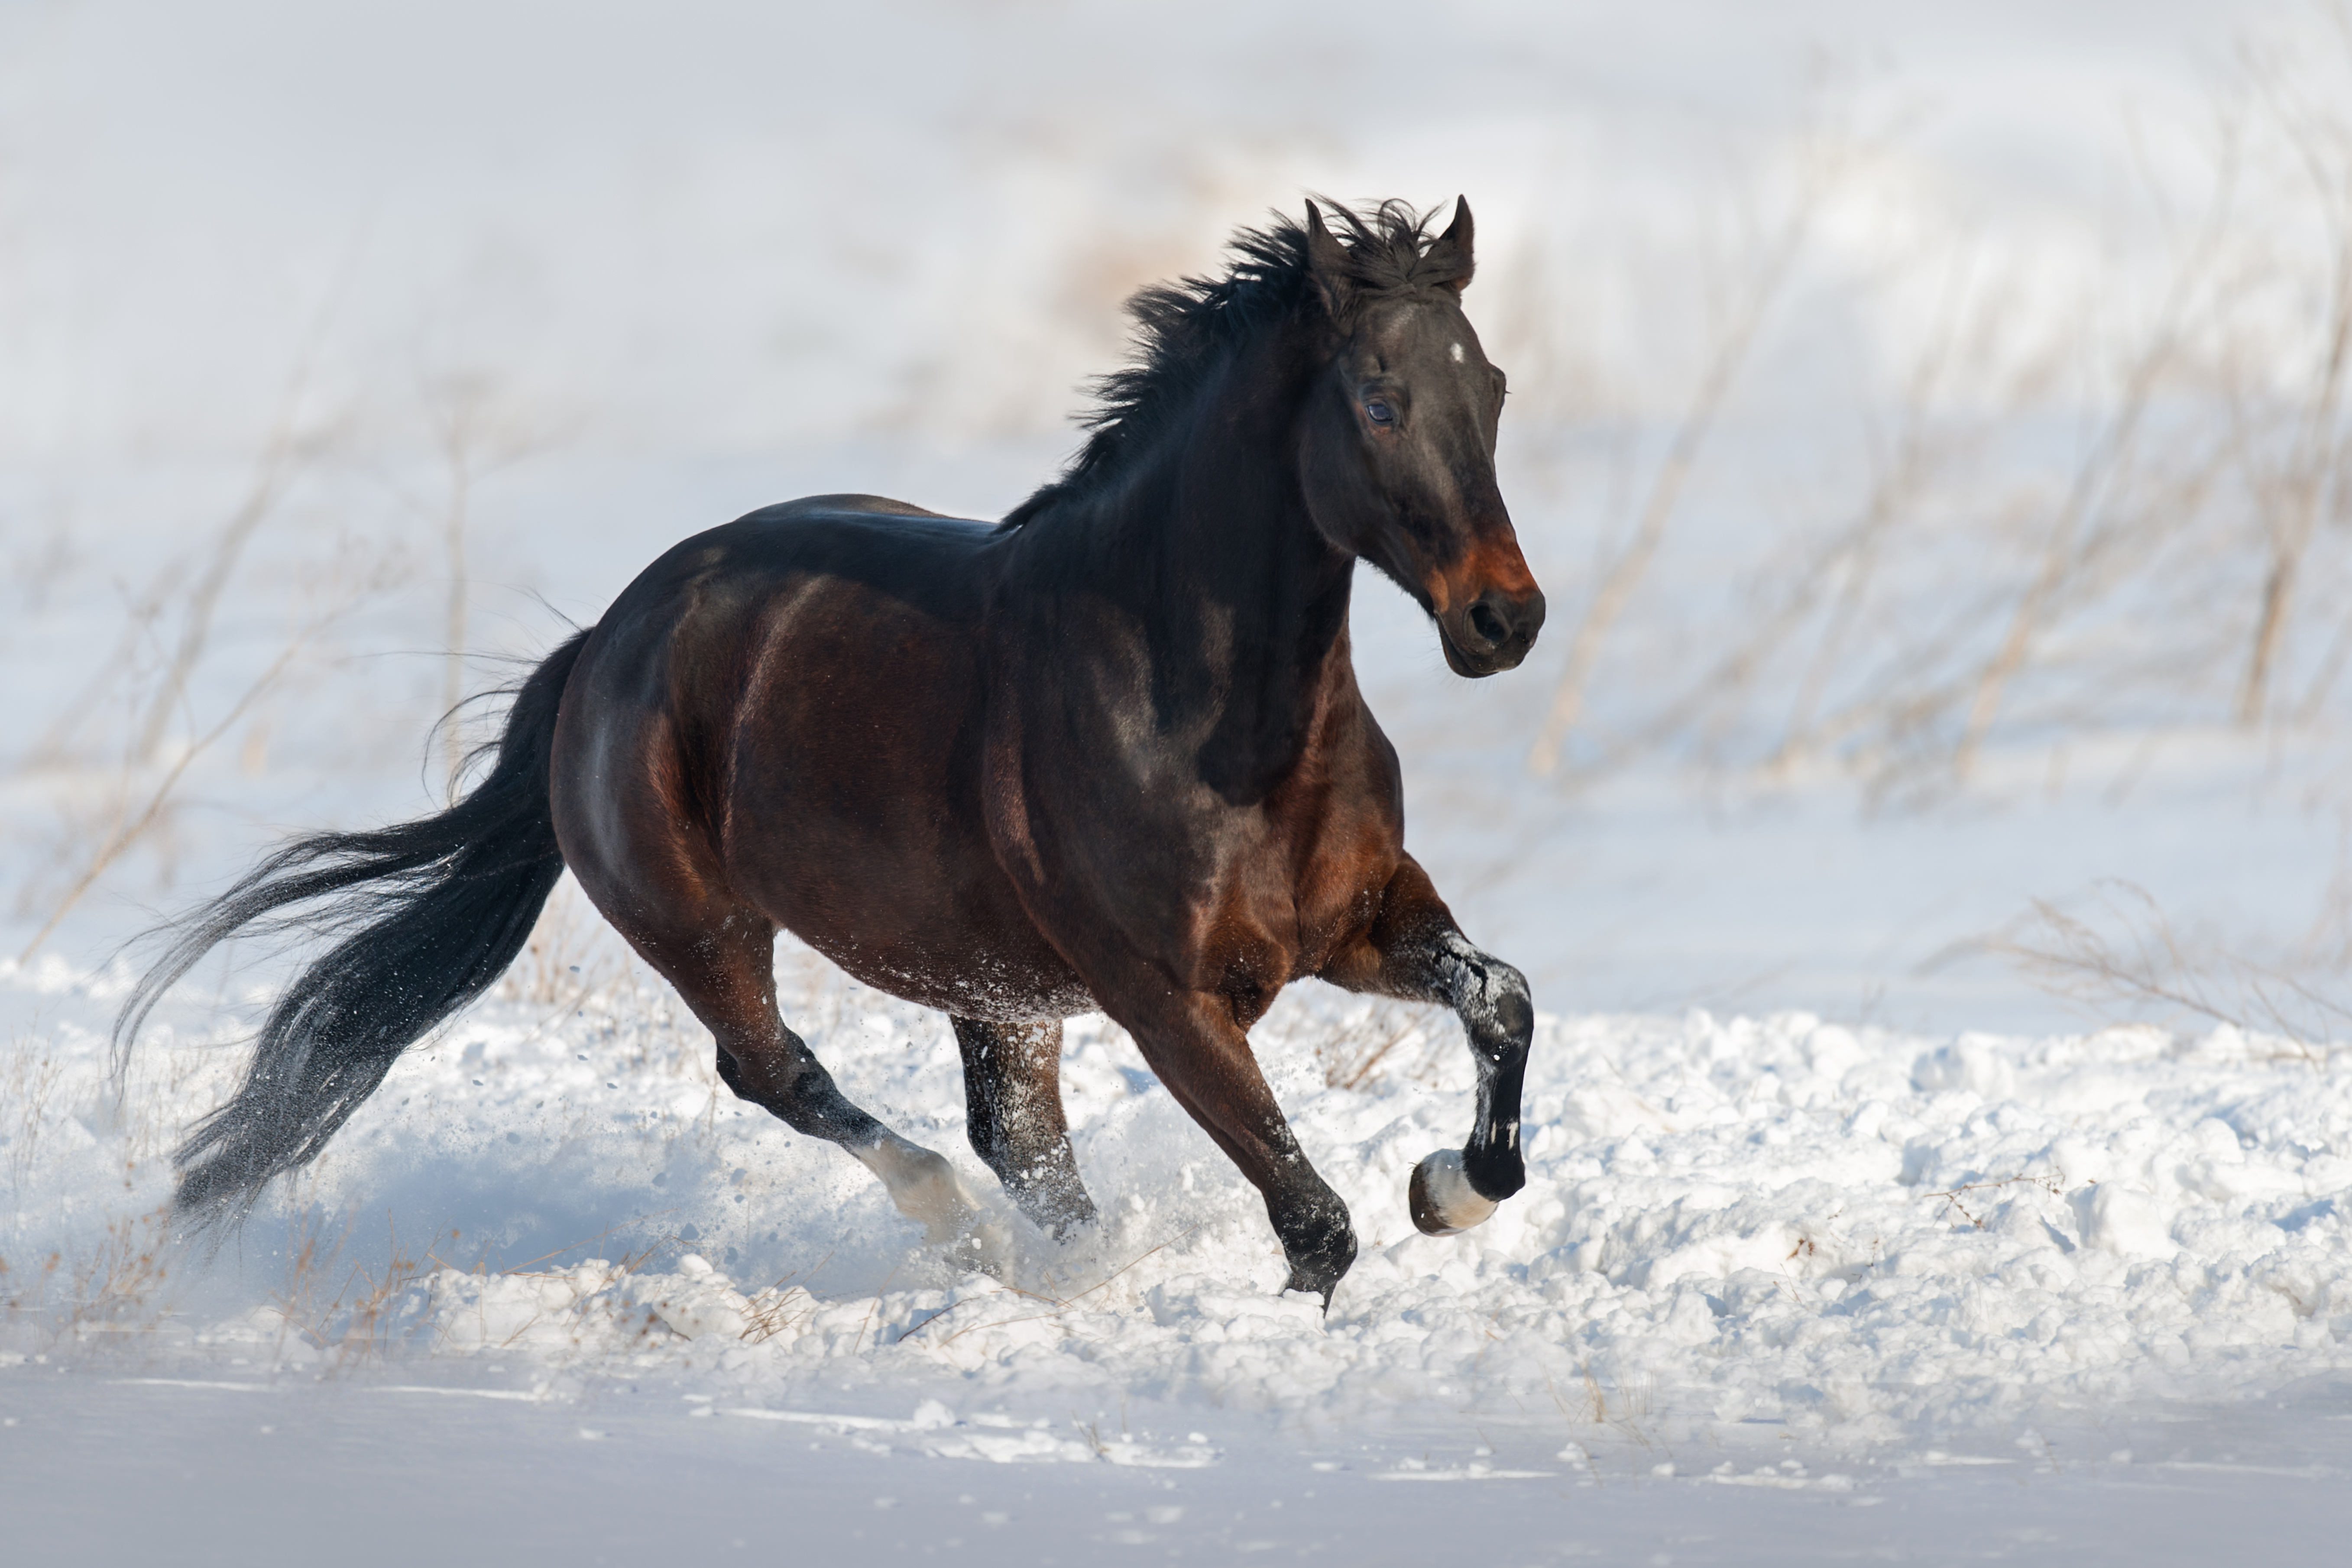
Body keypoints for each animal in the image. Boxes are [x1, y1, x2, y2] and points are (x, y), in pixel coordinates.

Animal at [114, 196, 1543, 1307]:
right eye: (1378, 401)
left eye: (1490, 388)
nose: (1503, 618)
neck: (1218, 730)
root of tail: (606, 642)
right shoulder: (1168, 998)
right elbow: (1312, 1220)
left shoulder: (1362, 921)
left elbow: (1501, 998)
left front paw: (1446, 1189)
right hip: (701, 927)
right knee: (782, 1073)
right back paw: (954, 1228)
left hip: (996, 986)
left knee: (1017, 1142)